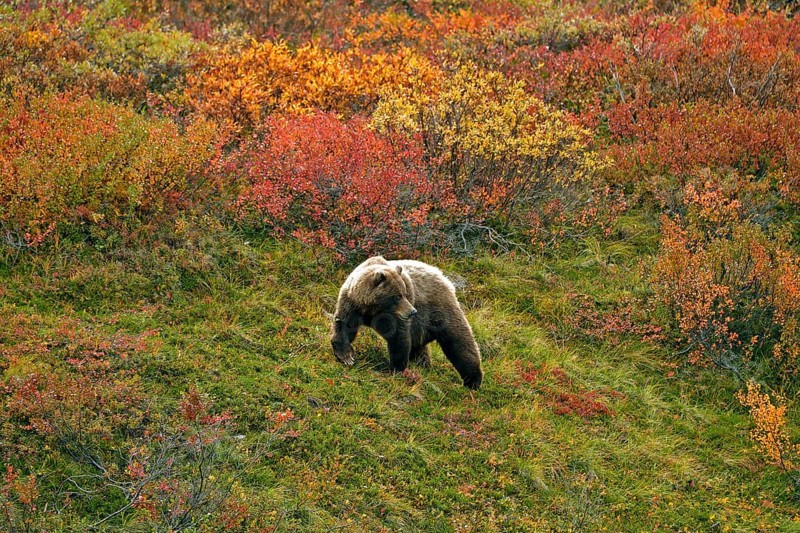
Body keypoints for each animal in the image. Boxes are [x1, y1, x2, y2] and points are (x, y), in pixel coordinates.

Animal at [330, 256, 483, 389]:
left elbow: (399, 338)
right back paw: (423, 364)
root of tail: (442, 276)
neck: (371, 309)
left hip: (439, 311)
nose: (412, 312)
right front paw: (346, 356)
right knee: (420, 348)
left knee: (459, 341)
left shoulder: (392, 317)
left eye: (404, 293)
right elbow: (344, 326)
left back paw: (473, 380)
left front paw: (396, 369)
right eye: (397, 296)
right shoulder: (351, 304)